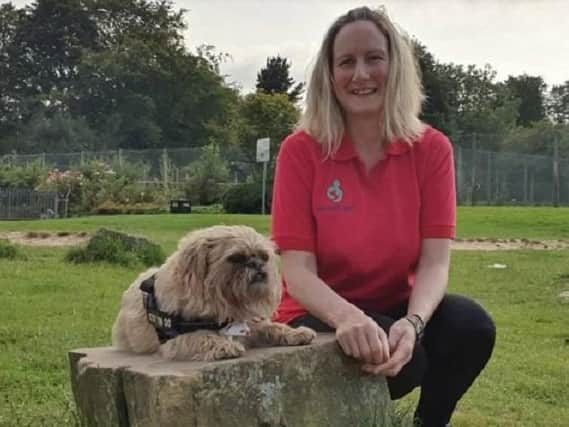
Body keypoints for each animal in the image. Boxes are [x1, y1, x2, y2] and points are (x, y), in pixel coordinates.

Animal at [111, 226, 316, 362]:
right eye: (235, 258)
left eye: (264, 257)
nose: (257, 264)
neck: (222, 300)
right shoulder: (175, 340)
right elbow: (201, 336)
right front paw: (224, 345)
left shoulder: (250, 325)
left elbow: (272, 327)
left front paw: (295, 332)